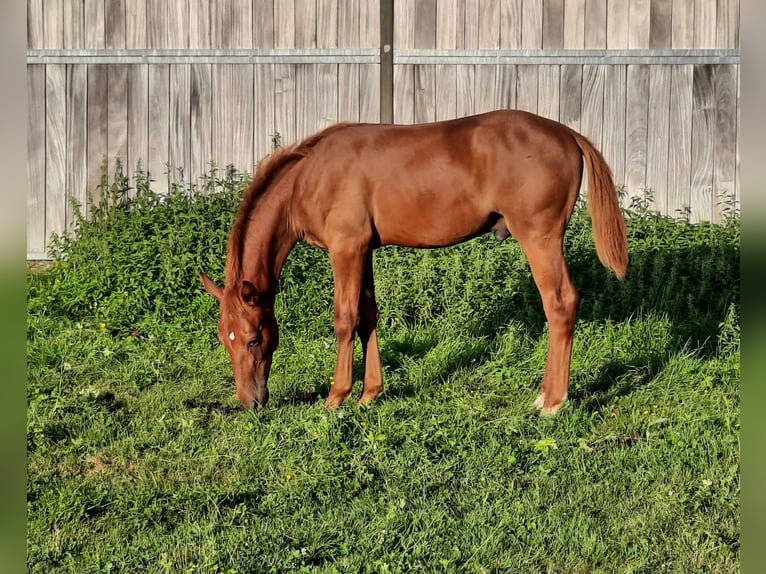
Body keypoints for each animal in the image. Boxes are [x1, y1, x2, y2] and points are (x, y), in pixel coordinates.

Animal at [201, 109, 628, 414]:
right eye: (224, 337)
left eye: (254, 338)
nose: (250, 402)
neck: (308, 176)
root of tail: (567, 134)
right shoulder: (365, 250)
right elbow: (368, 314)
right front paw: (370, 393)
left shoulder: (346, 248)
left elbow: (345, 319)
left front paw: (337, 396)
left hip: (540, 239)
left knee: (560, 304)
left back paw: (551, 401)